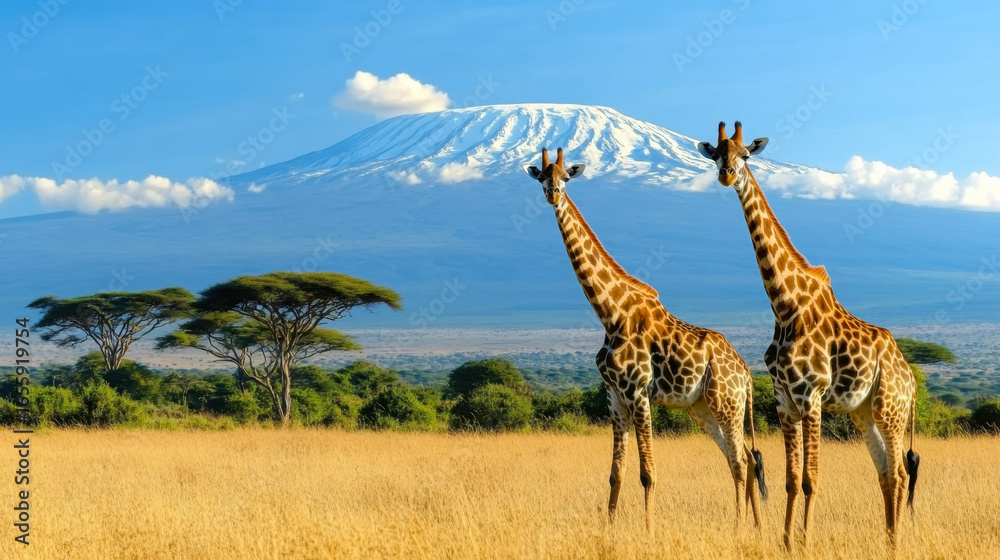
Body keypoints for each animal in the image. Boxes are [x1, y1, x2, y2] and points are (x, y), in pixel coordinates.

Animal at [526, 147, 768, 533]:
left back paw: (740, 526)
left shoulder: (638, 393)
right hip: (704, 409)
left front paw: (649, 529)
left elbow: (648, 473)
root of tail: (745, 373)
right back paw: (756, 526)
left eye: (565, 177)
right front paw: (608, 528)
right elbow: (616, 473)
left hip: (727, 404)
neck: (611, 313)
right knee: (744, 455)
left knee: (741, 461)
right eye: (541, 178)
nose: (553, 194)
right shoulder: (614, 396)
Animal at [696, 122, 921, 550]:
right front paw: (785, 540)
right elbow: (790, 479)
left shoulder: (812, 397)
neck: (785, 305)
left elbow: (811, 479)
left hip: (890, 409)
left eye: (745, 155)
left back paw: (898, 541)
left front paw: (805, 541)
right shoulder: (784, 401)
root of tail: (911, 379)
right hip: (863, 413)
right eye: (716, 154)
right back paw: (887, 538)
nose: (727, 176)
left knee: (900, 471)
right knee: (886, 472)